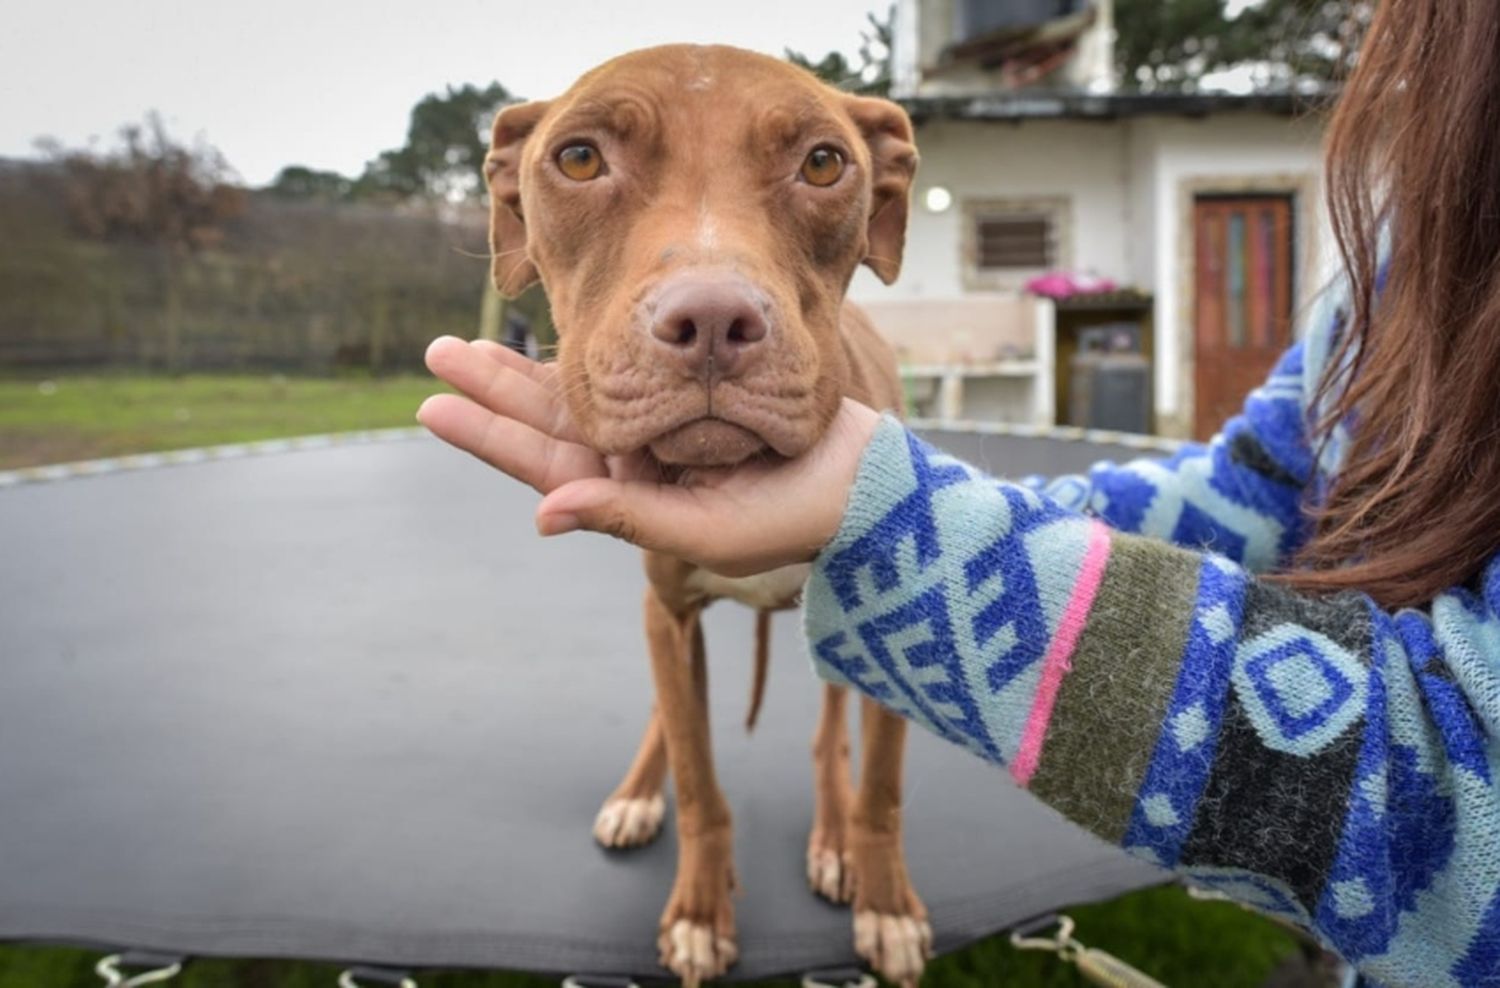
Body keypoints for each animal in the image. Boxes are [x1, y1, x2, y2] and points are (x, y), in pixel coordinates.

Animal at [480, 46, 924, 988]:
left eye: (823, 164)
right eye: (579, 158)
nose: (715, 320)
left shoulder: (893, 634)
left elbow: (879, 788)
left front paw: (885, 903)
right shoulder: (672, 613)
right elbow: (697, 774)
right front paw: (696, 910)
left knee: (829, 735)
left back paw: (833, 838)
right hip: (666, 618)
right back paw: (637, 793)